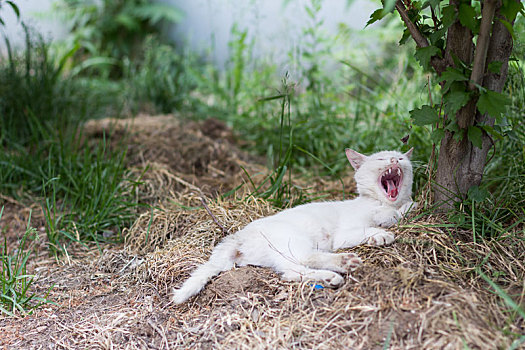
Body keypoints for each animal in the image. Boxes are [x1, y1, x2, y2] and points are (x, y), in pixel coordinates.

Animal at [172, 148, 414, 304]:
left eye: (401, 157)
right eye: (381, 158)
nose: (395, 160)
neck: (379, 201)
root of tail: (238, 236)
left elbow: (402, 210)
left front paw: (403, 210)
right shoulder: (344, 233)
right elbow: (386, 218)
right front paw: (383, 230)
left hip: (282, 255)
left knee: (290, 272)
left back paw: (330, 277)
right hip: (293, 240)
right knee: (306, 259)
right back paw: (344, 263)